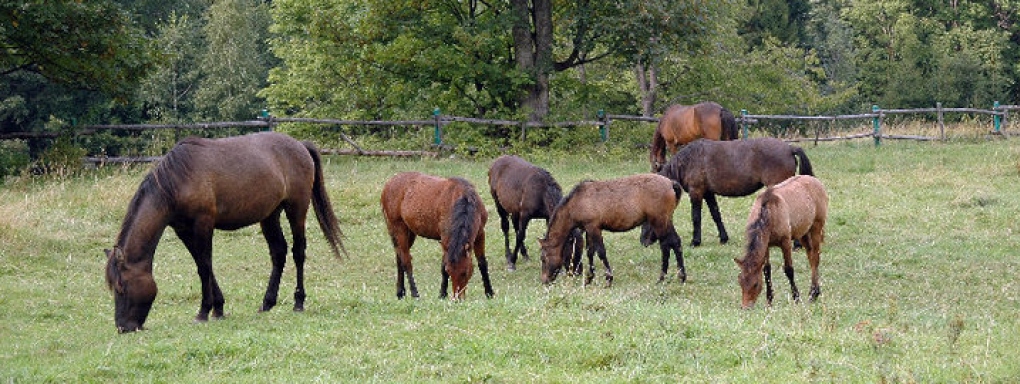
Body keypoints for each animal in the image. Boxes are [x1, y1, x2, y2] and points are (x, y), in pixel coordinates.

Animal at [103, 131, 344, 332]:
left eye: (122, 287)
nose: (123, 327)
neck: (176, 182)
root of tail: (300, 145)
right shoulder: (183, 230)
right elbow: (204, 265)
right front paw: (218, 308)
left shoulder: (203, 224)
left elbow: (204, 267)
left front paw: (203, 312)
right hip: (270, 215)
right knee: (278, 252)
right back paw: (267, 303)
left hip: (297, 209)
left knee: (298, 252)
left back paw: (298, 302)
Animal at [381, 170, 495, 300]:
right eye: (449, 271)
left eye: (465, 272)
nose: (457, 298)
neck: (465, 200)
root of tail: (388, 184)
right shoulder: (445, 238)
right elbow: (443, 266)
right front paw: (442, 294)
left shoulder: (480, 234)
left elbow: (482, 263)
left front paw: (489, 293)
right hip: (398, 228)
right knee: (406, 260)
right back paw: (415, 293)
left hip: (409, 232)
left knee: (399, 256)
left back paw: (400, 292)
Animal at [534, 173, 685, 285]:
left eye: (543, 258)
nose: (544, 280)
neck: (576, 203)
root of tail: (671, 183)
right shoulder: (588, 229)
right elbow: (590, 252)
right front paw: (589, 278)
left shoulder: (594, 227)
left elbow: (601, 252)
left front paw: (608, 278)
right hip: (665, 221)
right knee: (673, 243)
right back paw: (680, 276)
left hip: (659, 222)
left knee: (667, 245)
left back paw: (664, 277)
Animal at [660, 136, 811, 246]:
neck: (689, 160)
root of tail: (789, 148)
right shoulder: (708, 193)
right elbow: (716, 215)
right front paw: (723, 238)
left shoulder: (696, 192)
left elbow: (696, 217)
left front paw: (695, 241)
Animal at [734, 175, 828, 310]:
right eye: (740, 281)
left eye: (755, 284)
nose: (745, 307)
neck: (769, 213)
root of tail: (815, 180)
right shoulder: (766, 245)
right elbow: (767, 271)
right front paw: (769, 301)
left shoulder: (786, 242)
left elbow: (789, 270)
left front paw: (796, 298)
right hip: (803, 233)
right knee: (811, 256)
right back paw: (814, 291)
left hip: (816, 227)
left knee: (815, 257)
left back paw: (813, 294)